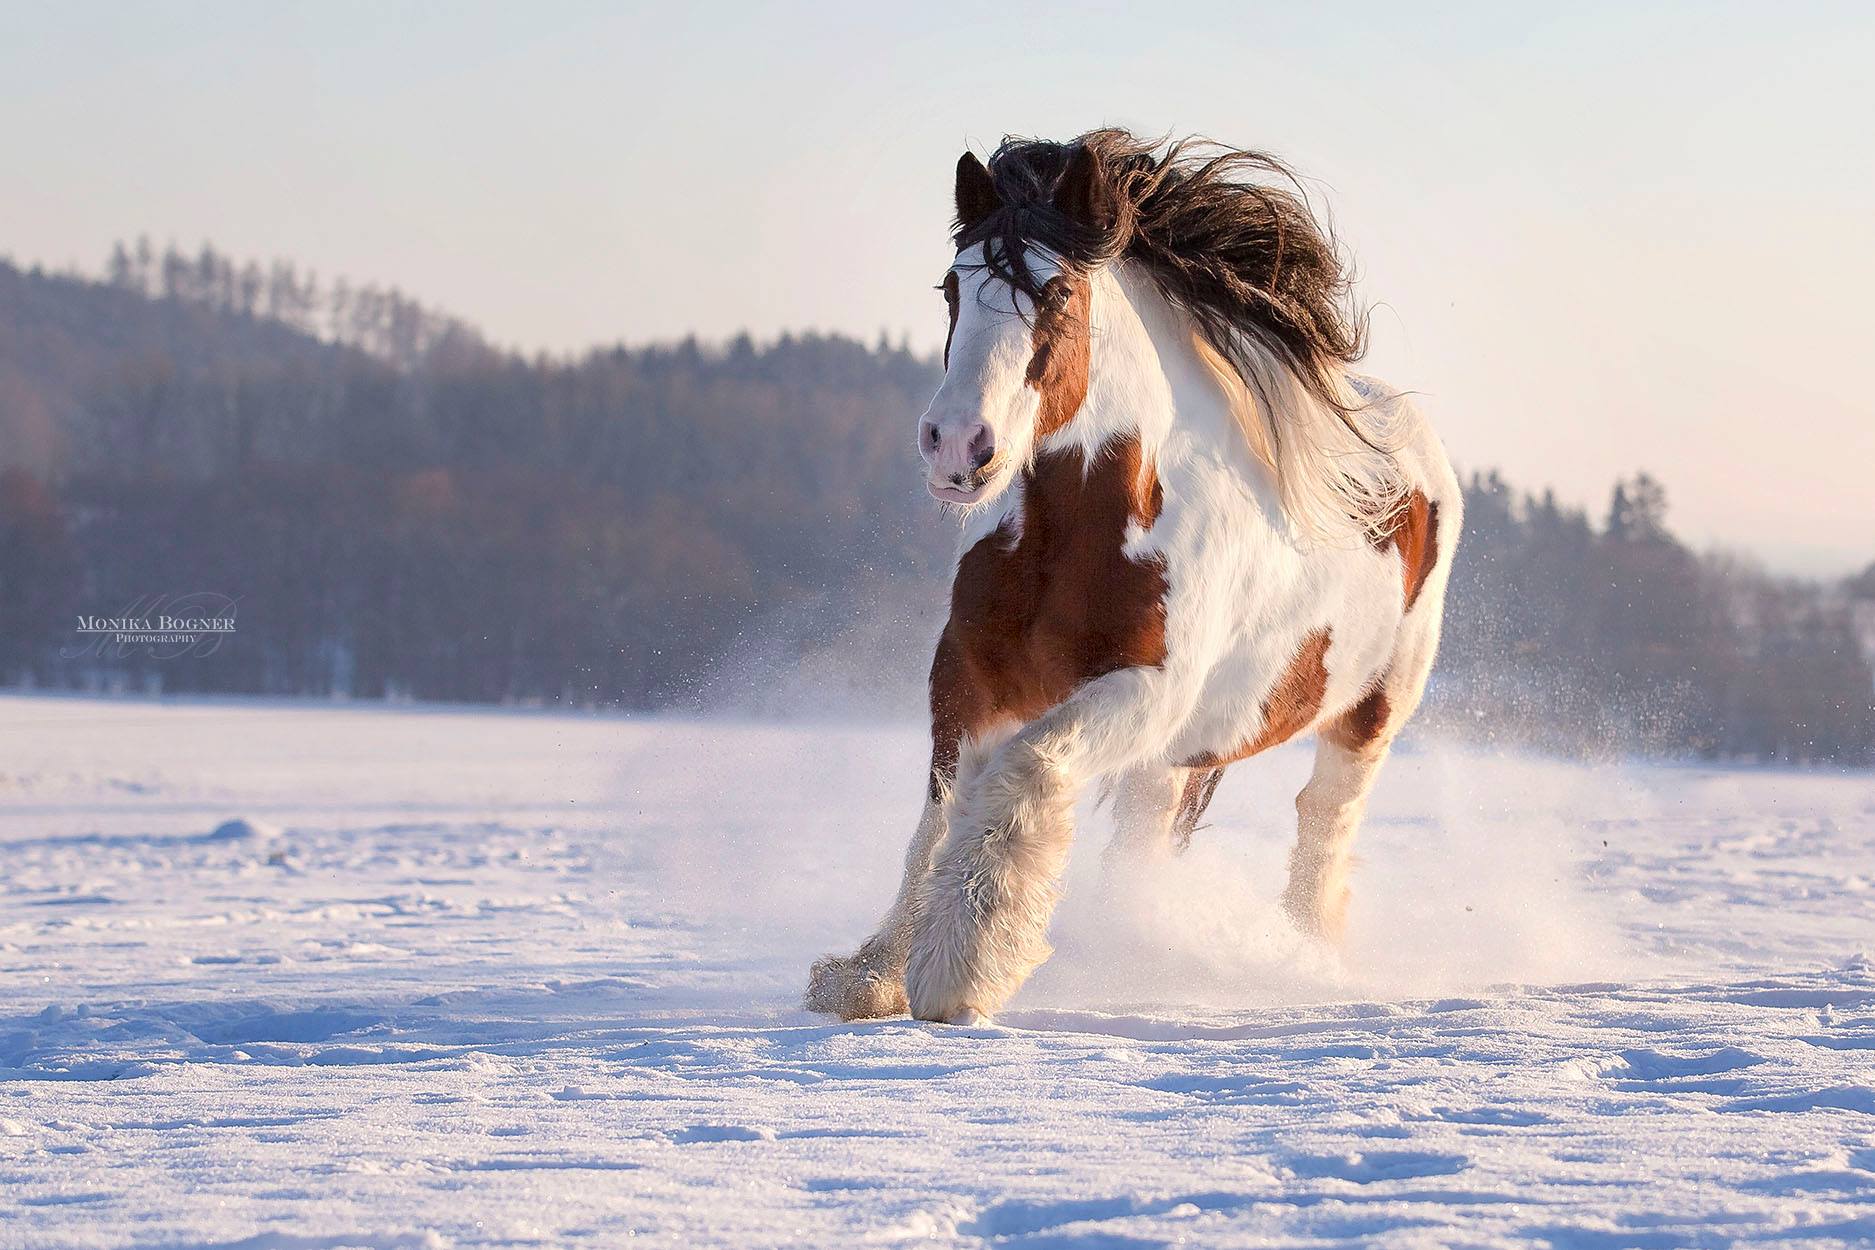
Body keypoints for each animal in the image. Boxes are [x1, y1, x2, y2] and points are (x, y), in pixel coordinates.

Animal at [806, 129, 1462, 1026]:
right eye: (951, 286)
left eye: (1056, 293)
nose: (957, 445)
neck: (1074, 533)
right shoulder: (965, 676)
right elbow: (937, 821)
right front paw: (868, 974)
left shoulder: (1145, 690)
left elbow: (1023, 772)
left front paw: (957, 972)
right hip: (1177, 759)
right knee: (1150, 841)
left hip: (1371, 712)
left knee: (1324, 825)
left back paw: (1301, 961)